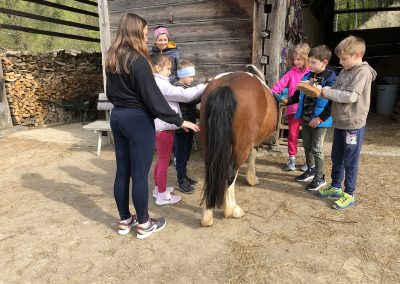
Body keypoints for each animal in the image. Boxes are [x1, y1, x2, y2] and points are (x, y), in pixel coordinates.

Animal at [200, 65, 278, 227]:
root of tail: (226, 86)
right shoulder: (255, 142)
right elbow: (253, 155)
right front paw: (252, 178)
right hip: (240, 147)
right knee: (230, 174)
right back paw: (232, 210)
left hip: (208, 145)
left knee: (211, 172)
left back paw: (207, 216)